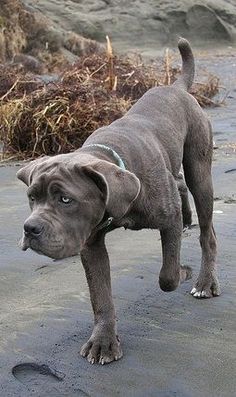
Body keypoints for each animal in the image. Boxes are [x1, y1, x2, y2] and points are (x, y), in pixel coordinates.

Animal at [17, 38, 221, 364]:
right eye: (32, 198)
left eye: (65, 199)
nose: (30, 228)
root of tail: (175, 87)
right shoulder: (91, 244)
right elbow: (100, 296)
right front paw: (103, 341)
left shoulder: (168, 220)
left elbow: (167, 276)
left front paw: (182, 272)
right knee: (178, 185)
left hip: (199, 169)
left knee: (207, 231)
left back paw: (204, 282)